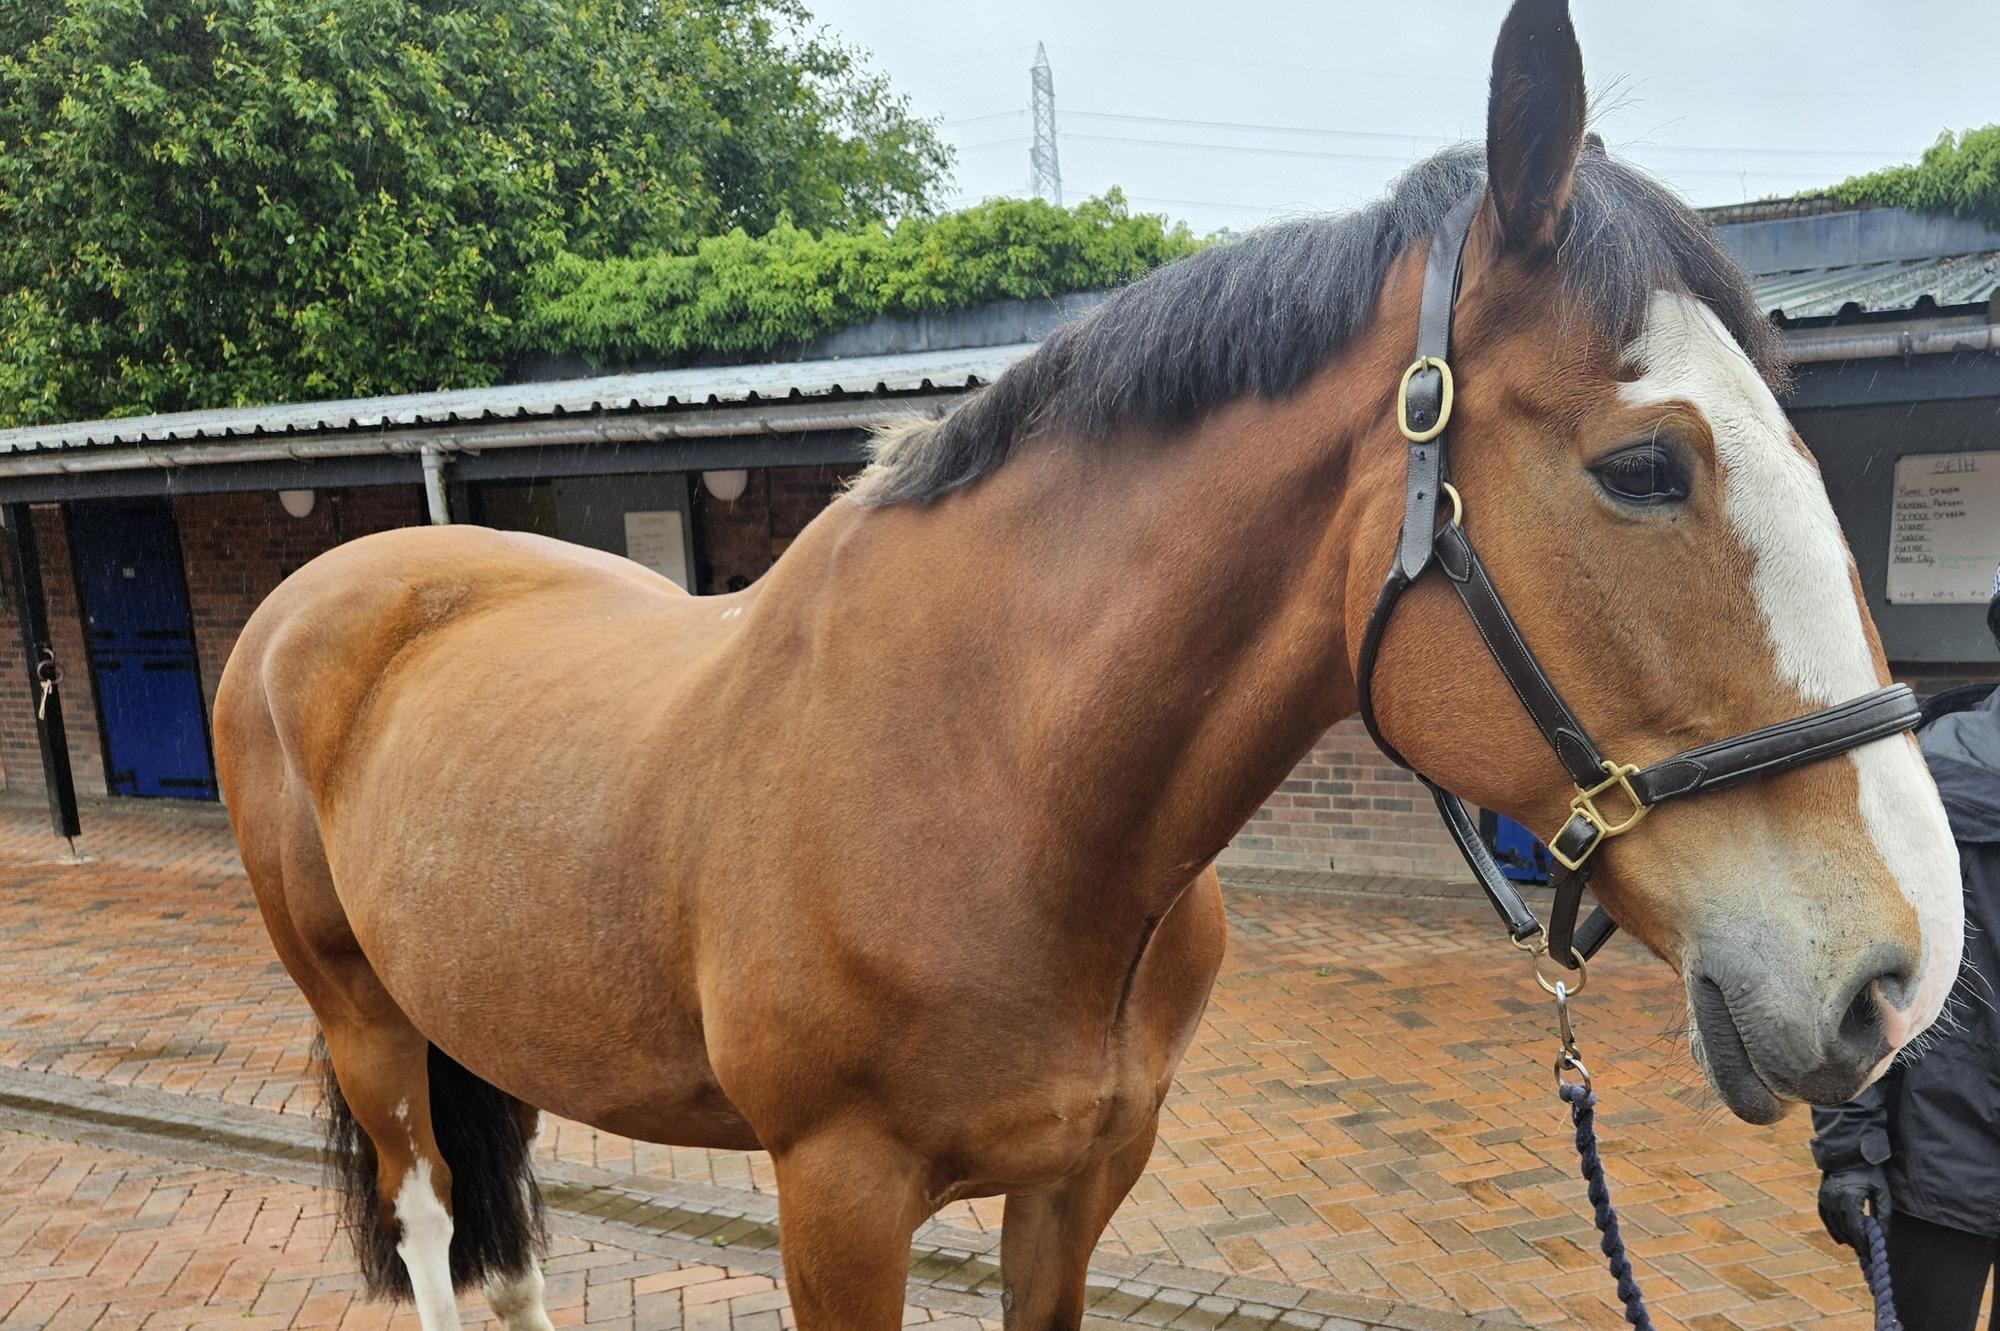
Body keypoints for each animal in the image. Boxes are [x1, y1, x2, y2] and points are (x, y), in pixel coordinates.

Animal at [213, 3, 1963, 1328]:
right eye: (1644, 467)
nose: (1906, 971)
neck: (998, 779)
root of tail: (320, 591)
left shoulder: (1078, 1179)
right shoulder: (836, 1197)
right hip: (365, 1019)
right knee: (429, 1229)